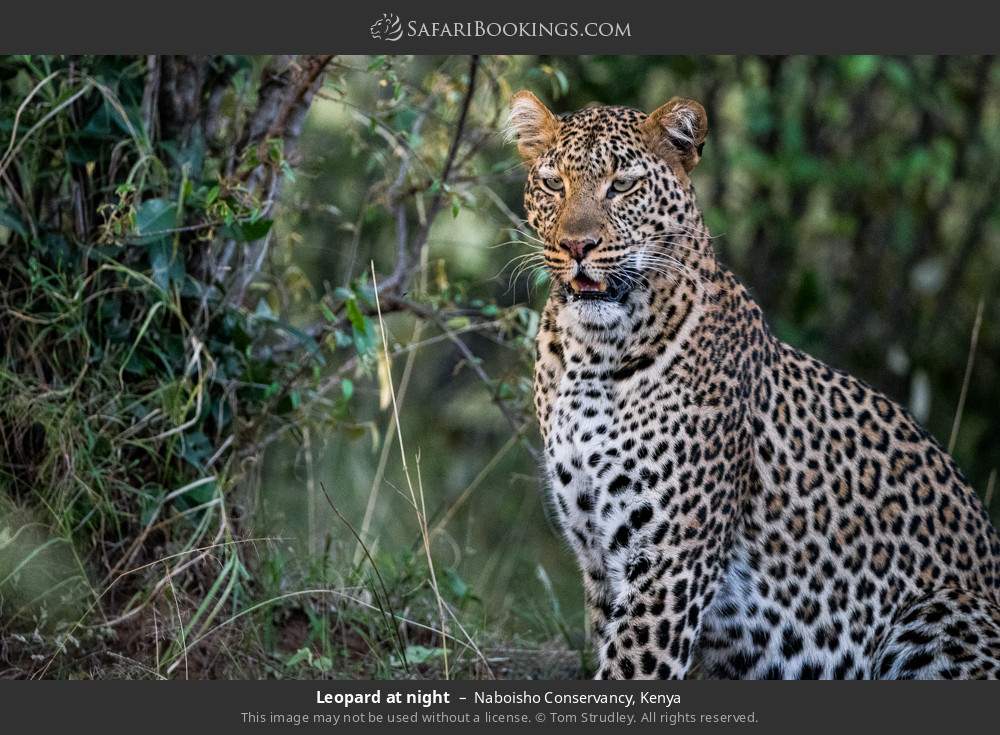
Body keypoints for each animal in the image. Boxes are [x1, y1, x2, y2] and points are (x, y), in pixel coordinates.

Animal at [508, 89, 1000, 680]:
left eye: (622, 185)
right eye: (553, 183)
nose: (576, 245)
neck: (593, 355)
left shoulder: (670, 563)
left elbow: (631, 667)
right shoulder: (600, 561)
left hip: (940, 613)